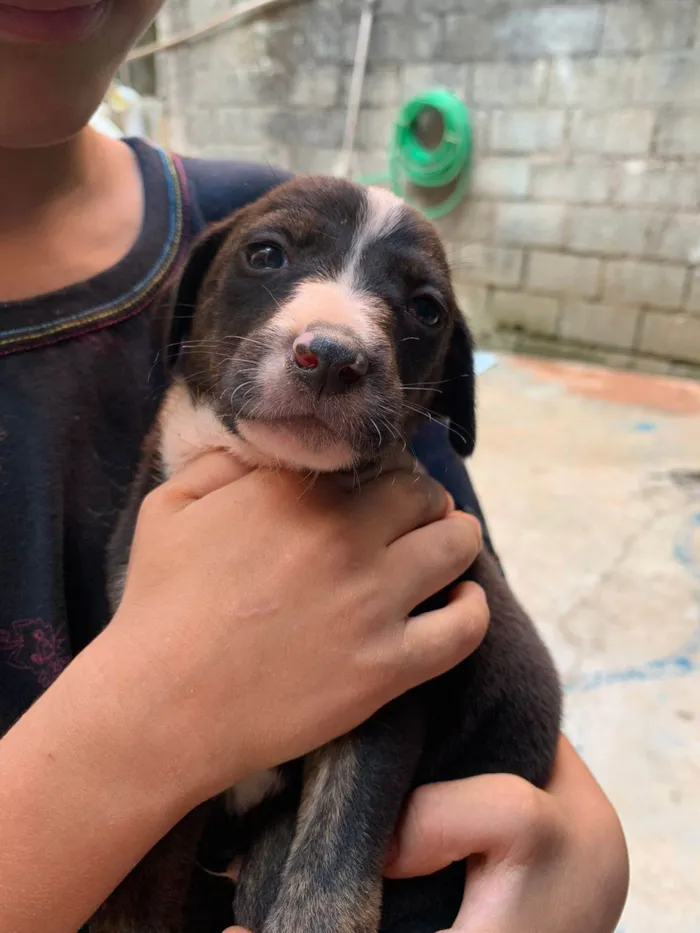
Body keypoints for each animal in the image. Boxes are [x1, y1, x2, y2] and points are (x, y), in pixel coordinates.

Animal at [93, 177, 564, 932]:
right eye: (266, 254)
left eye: (426, 309)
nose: (335, 356)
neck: (272, 474)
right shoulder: (166, 734)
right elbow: (142, 878)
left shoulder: (387, 690)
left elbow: (333, 851)